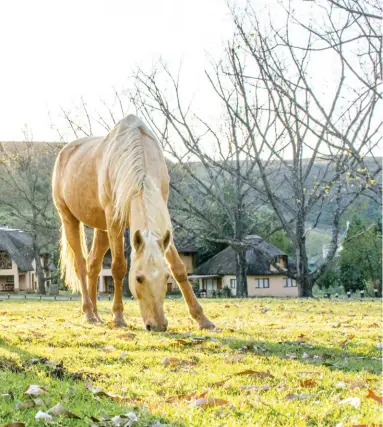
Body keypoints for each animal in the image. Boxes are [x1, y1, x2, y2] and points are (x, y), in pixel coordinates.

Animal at [52, 115, 216, 332]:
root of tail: (65, 152)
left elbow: (179, 268)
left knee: (93, 265)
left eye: (166, 278)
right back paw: (89, 314)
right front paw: (118, 318)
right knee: (81, 265)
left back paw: (96, 314)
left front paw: (203, 319)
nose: (157, 325)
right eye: (138, 278)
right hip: (70, 219)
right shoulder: (114, 220)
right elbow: (118, 267)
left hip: (102, 229)